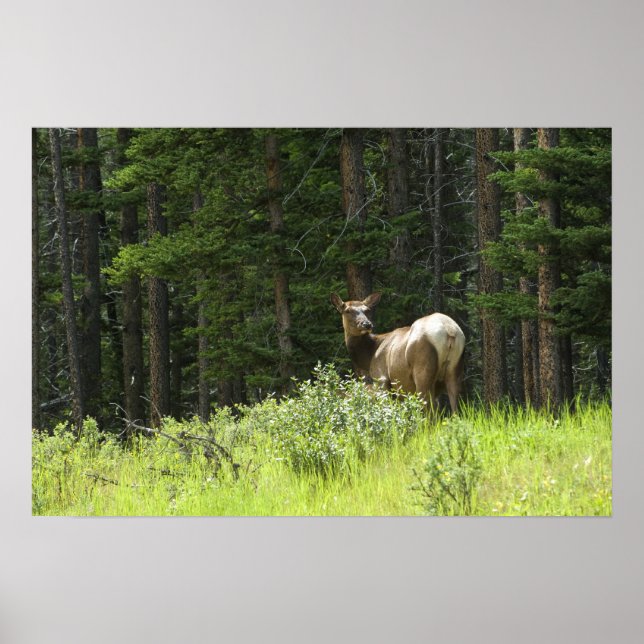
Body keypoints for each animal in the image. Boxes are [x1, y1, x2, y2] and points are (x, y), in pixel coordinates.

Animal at [330, 292, 465, 413]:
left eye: (367, 310)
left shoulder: (381, 378)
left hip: (423, 370)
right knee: (455, 409)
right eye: (347, 311)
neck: (370, 355)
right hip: (455, 371)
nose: (366, 324)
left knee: (428, 409)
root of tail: (449, 331)